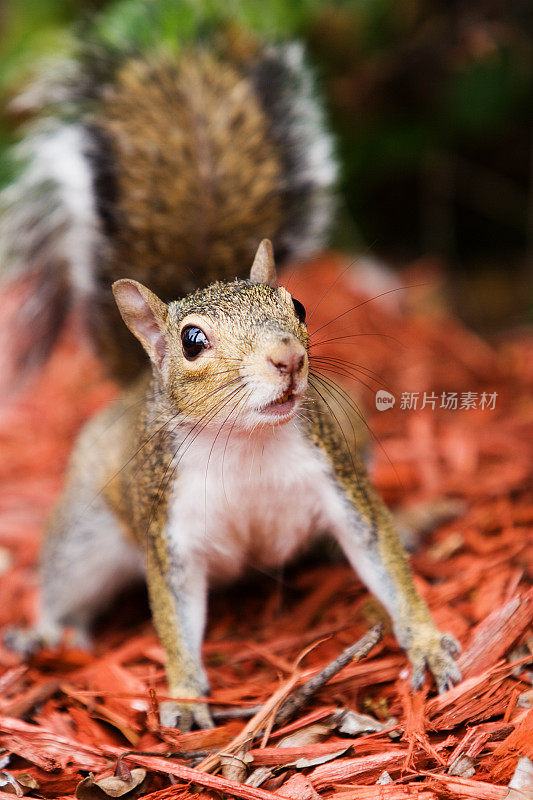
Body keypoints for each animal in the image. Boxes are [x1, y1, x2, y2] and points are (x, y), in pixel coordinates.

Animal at [0, 25, 460, 728]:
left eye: (298, 306)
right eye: (192, 342)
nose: (288, 358)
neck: (247, 445)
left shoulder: (339, 480)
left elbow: (383, 560)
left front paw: (427, 642)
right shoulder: (170, 532)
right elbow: (175, 618)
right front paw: (187, 697)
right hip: (86, 527)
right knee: (66, 577)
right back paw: (47, 633)